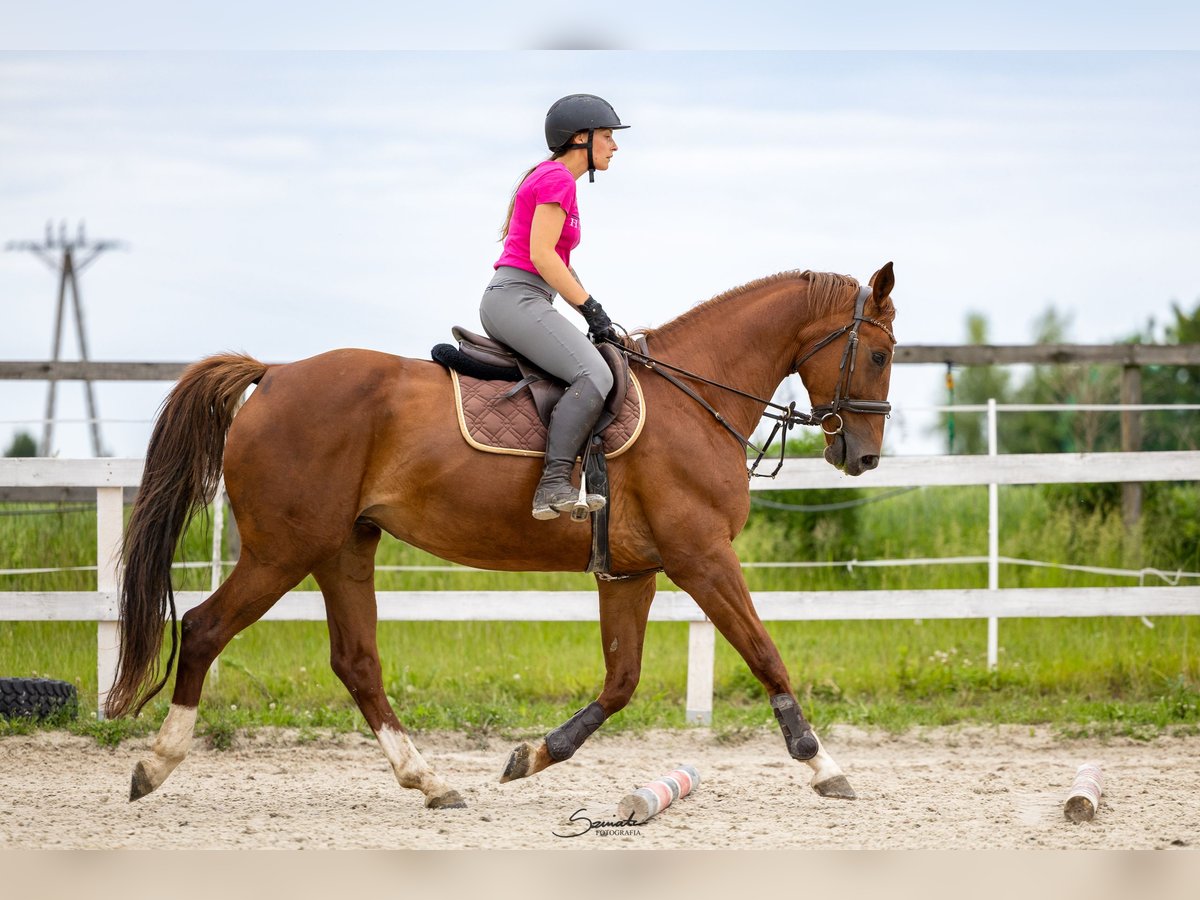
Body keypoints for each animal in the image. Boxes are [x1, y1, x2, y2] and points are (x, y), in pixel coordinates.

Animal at [107, 263, 897, 809]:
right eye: (882, 354)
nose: (861, 456)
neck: (695, 397)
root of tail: (273, 376)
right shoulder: (701, 557)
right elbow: (765, 654)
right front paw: (823, 765)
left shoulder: (631, 571)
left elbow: (621, 682)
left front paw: (535, 754)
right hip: (283, 551)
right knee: (205, 629)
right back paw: (155, 764)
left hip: (342, 549)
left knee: (356, 662)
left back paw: (428, 781)